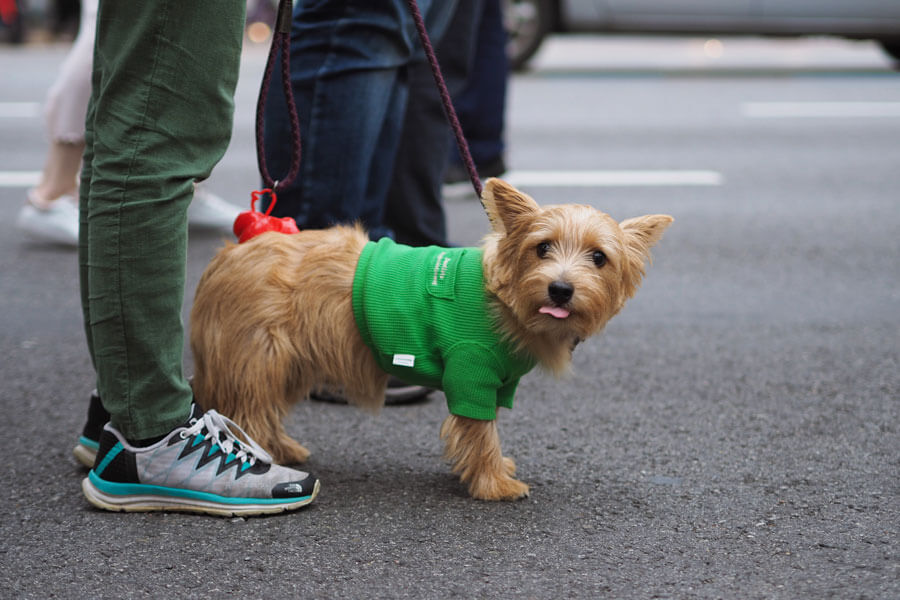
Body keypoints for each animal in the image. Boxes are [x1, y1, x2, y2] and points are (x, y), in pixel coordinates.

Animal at [190, 179, 668, 502]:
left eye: (599, 258)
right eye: (543, 248)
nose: (561, 289)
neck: (504, 298)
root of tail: (232, 251)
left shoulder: (497, 385)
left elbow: (485, 433)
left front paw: (493, 469)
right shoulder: (471, 373)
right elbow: (481, 433)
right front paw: (494, 483)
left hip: (289, 363)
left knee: (261, 409)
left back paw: (282, 448)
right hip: (261, 357)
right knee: (249, 409)